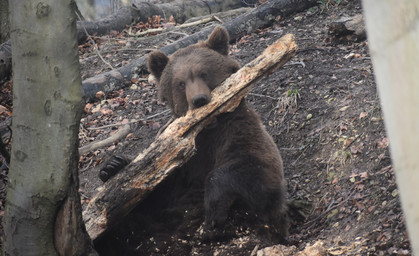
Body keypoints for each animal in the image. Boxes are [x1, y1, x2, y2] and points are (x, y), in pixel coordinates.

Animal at [148, 26, 288, 240]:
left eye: (203, 73)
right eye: (180, 83)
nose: (199, 99)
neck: (206, 129)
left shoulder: (238, 131)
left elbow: (260, 168)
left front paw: (214, 211)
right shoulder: (177, 161)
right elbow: (157, 192)